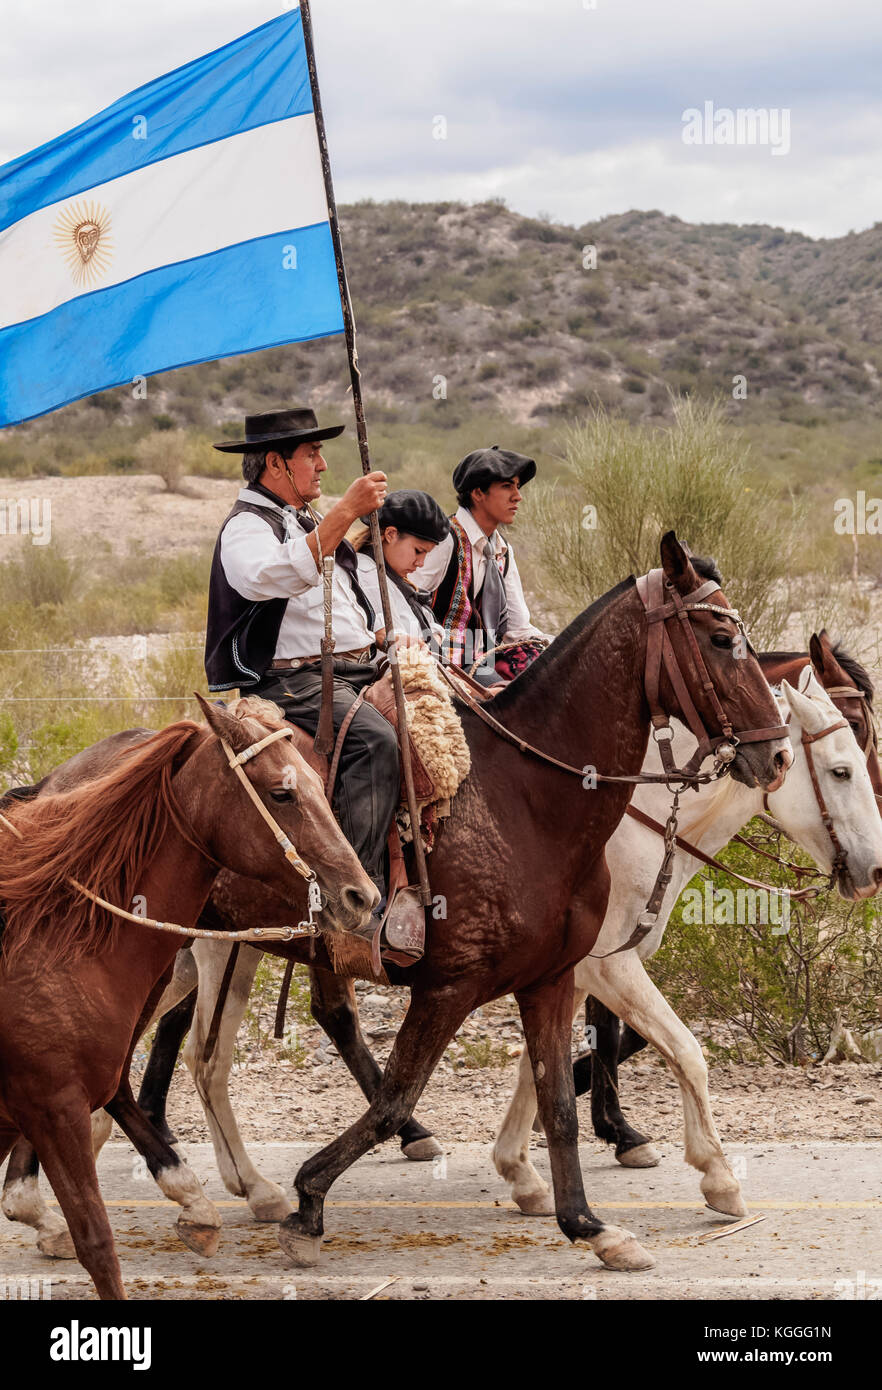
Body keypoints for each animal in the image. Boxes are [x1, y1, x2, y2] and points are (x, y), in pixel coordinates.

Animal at [494, 672, 882, 1217]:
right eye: (841, 771)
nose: (878, 869)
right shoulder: (607, 967)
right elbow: (685, 1050)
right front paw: (718, 1174)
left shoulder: (571, 973)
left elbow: (536, 1067)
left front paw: (520, 1171)